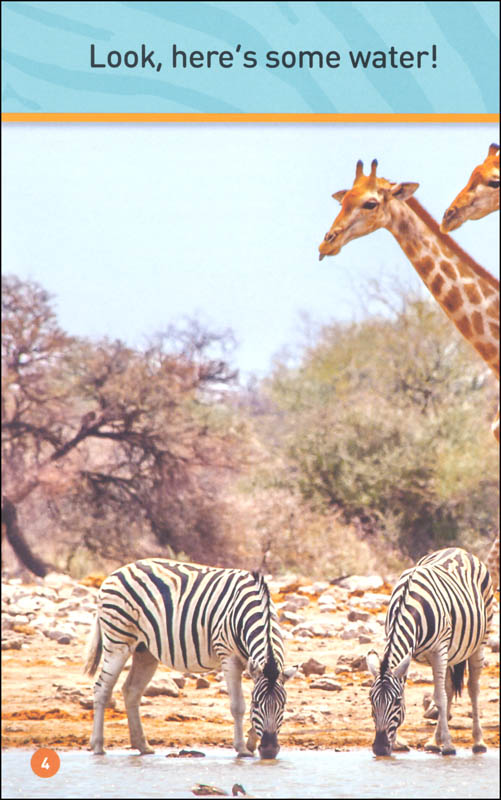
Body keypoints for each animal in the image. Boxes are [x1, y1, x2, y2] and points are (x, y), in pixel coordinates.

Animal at [84, 558, 296, 758]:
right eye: (257, 704)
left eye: (283, 705)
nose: (269, 750)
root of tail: (117, 571)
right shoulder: (229, 656)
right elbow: (237, 706)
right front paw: (242, 749)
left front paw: (251, 743)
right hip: (118, 641)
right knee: (102, 689)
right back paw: (98, 746)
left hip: (145, 650)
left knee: (131, 691)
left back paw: (142, 746)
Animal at [366, 547, 493, 757]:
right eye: (371, 700)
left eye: (397, 701)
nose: (379, 748)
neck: (409, 604)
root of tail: (459, 550)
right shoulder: (408, 651)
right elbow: (438, 694)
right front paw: (398, 743)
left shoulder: (438, 649)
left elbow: (439, 698)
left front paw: (448, 746)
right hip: (451, 652)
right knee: (449, 688)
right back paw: (435, 741)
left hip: (479, 640)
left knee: (472, 688)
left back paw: (478, 742)